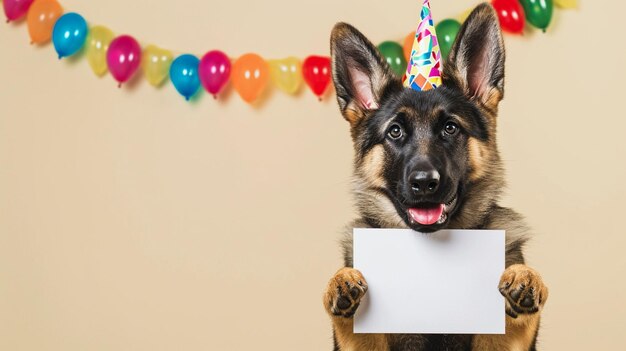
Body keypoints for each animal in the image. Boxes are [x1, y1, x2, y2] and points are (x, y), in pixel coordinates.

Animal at [322, 3, 544, 351]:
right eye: (395, 132)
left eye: (450, 128)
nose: (425, 183)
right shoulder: (360, 340)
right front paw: (340, 281)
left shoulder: (506, 338)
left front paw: (524, 275)